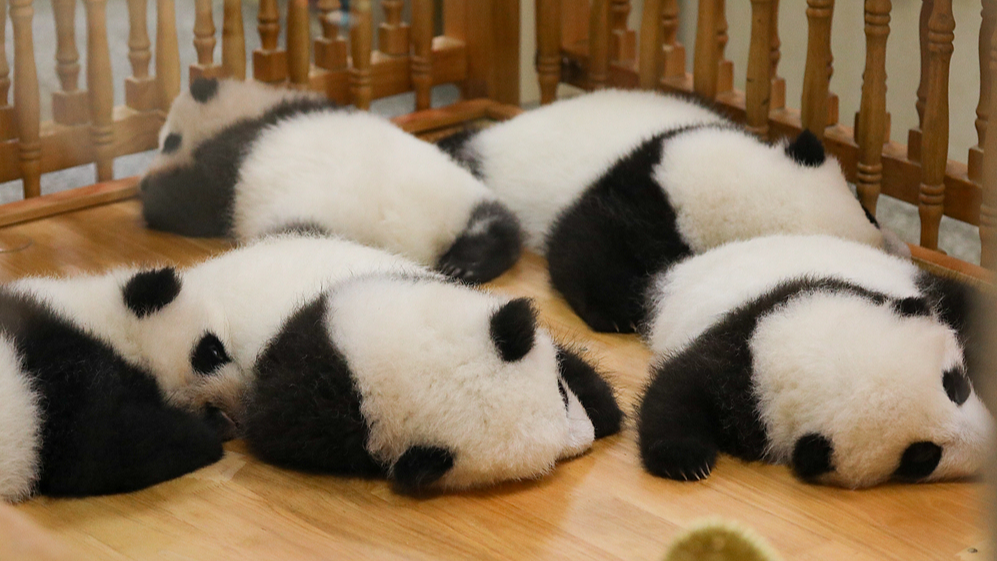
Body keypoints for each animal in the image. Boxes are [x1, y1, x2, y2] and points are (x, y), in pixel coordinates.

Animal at [139, 78, 523, 284]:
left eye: (168, 140)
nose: (143, 181)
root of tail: (410, 242)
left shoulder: (230, 161)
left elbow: (190, 201)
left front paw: (151, 194)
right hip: (458, 193)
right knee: (496, 223)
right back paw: (468, 262)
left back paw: (463, 265)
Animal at [439, 89, 906, 333]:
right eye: (869, 213)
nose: (892, 243)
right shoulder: (646, 185)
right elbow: (581, 243)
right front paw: (619, 311)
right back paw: (466, 264)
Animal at [636, 236, 993, 488]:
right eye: (921, 457)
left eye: (956, 385)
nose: (988, 444)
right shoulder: (740, 363)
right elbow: (680, 384)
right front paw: (683, 458)